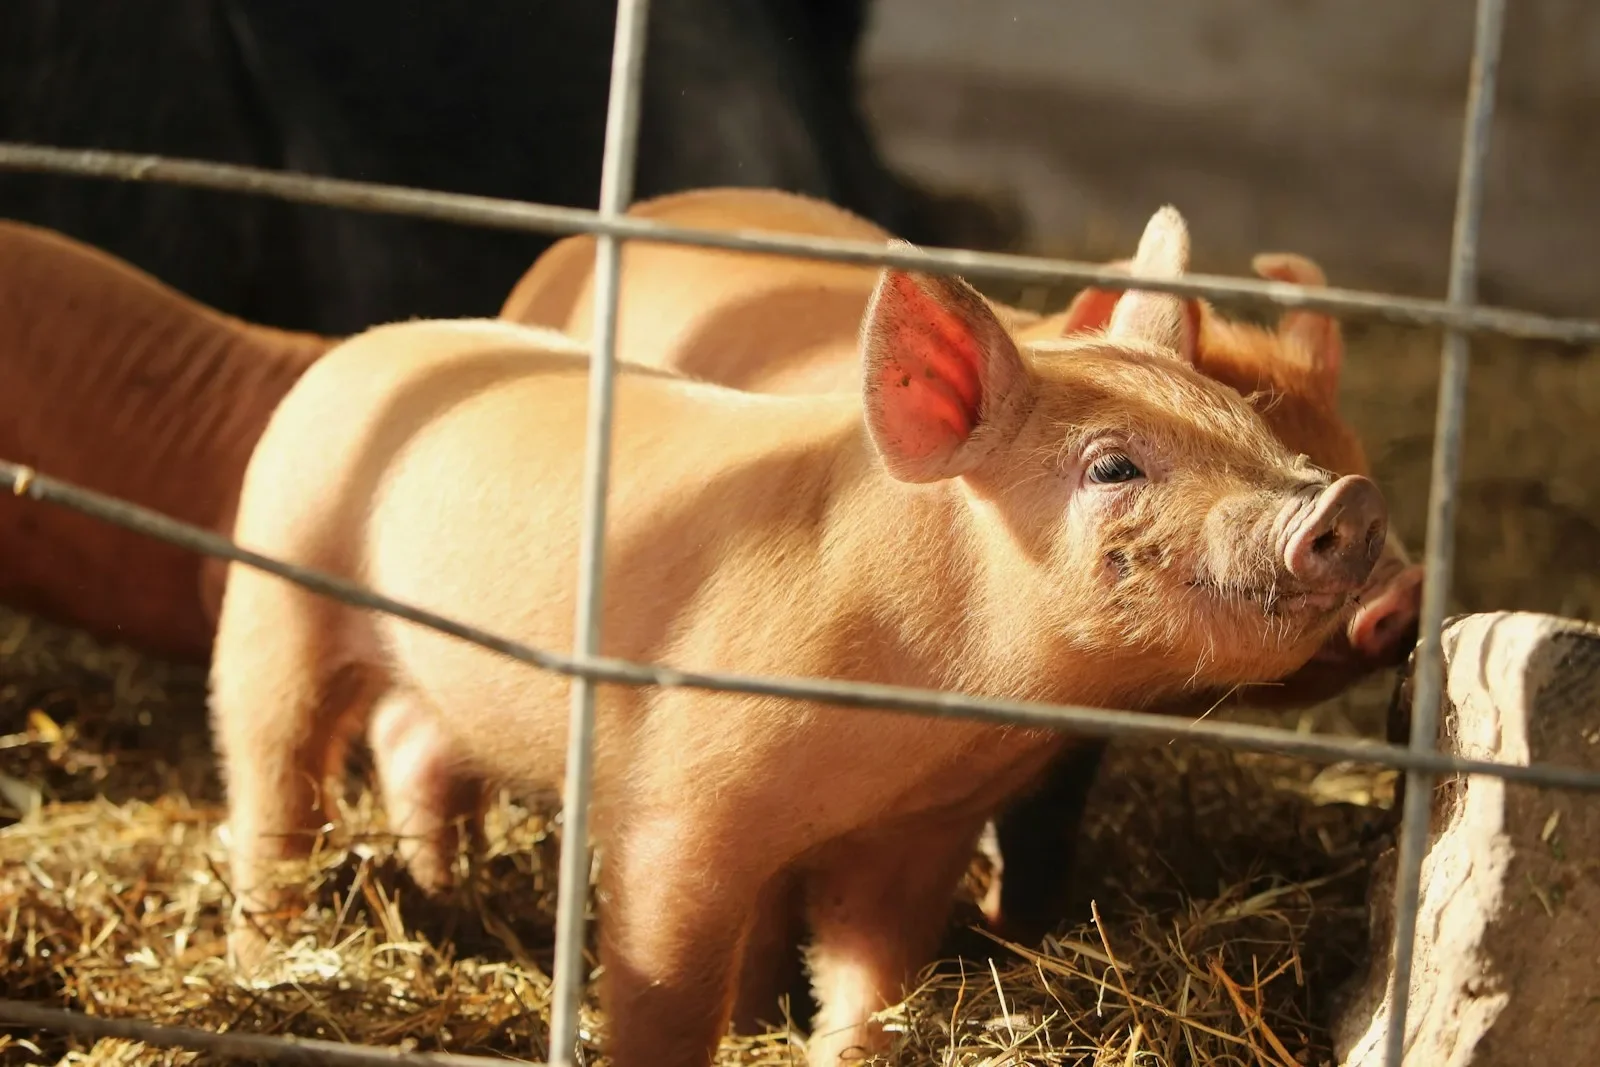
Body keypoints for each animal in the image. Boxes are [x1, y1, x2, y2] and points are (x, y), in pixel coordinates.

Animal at [211, 204, 1390, 1067]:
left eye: (1247, 424)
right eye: (1112, 465)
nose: (1348, 500)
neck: (923, 718)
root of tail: (371, 347)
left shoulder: (921, 835)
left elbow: (872, 980)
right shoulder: (679, 810)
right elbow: (670, 986)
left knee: (409, 740)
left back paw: (441, 893)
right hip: (272, 591)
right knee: (273, 781)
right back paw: (267, 952)